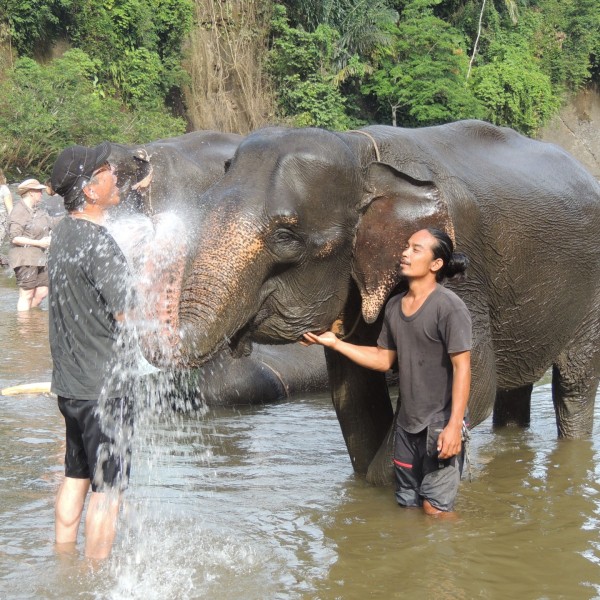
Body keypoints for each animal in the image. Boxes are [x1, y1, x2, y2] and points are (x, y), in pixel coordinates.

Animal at [138, 119, 600, 486]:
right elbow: (354, 393)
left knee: (573, 385)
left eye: (285, 237)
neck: (361, 157)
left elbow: (474, 383)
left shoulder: (462, 268)